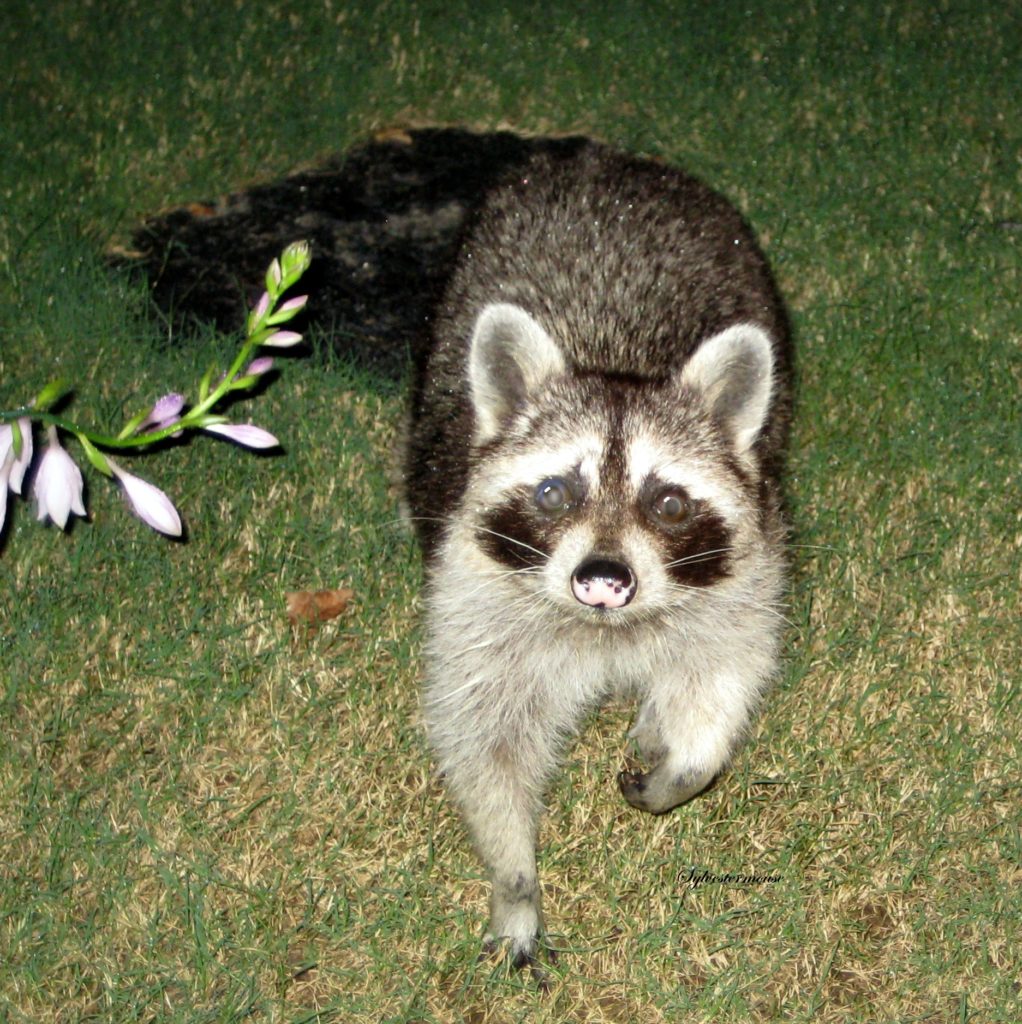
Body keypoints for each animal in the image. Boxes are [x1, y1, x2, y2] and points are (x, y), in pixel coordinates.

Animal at [403, 140, 794, 962]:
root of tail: (607, 157)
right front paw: (514, 874)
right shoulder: (474, 592)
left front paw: (687, 763)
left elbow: (724, 673)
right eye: (555, 493)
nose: (604, 578)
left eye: (668, 503)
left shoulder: (748, 567)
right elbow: (485, 739)